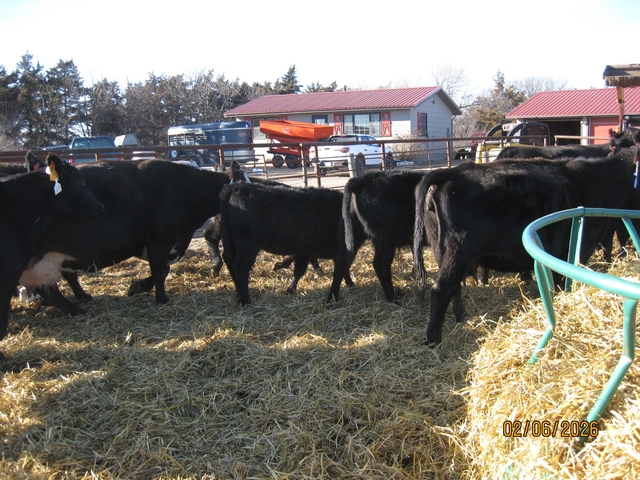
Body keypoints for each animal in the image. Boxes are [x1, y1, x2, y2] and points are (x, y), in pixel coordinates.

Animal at [19, 159, 245, 316]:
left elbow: (161, 271)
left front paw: (138, 287)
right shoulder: (159, 242)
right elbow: (160, 272)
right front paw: (160, 298)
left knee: (53, 286)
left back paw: (79, 303)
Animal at [219, 182, 366, 306]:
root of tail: (236, 186)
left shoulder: (305, 250)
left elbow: (299, 270)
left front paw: (289, 288)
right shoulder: (345, 249)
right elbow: (342, 269)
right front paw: (350, 284)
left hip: (231, 241)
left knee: (229, 259)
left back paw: (238, 294)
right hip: (247, 245)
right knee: (240, 267)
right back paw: (246, 301)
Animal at [413, 149, 640, 345]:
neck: (600, 180)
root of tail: (451, 172)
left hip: (444, 252)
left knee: (455, 288)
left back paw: (462, 317)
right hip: (458, 251)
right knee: (442, 290)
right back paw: (433, 340)